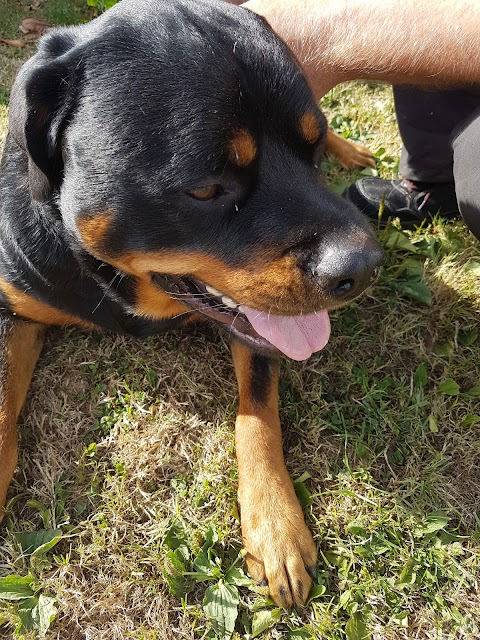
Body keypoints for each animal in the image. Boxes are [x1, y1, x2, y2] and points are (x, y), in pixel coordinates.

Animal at [0, 0, 382, 608]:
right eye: (205, 188)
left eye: (313, 148)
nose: (365, 265)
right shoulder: (10, 305)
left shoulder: (260, 330)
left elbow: (257, 415)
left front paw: (276, 528)